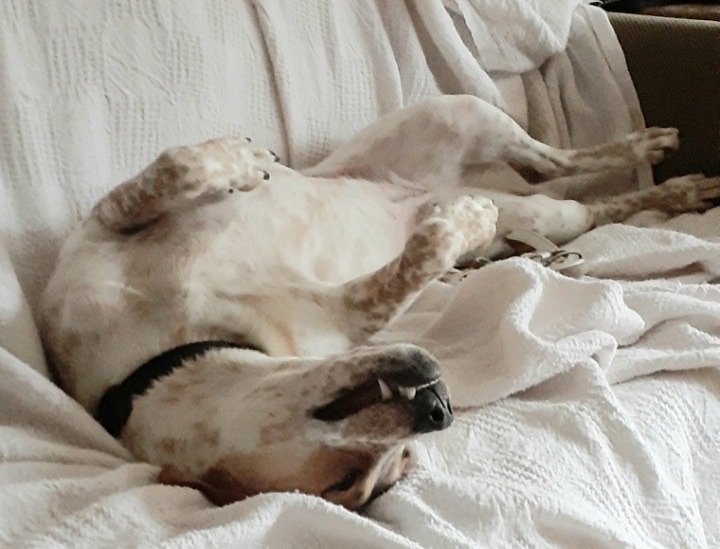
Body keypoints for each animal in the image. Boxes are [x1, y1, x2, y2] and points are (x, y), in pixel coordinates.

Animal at [39, 95, 720, 510]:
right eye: (349, 481)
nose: (440, 410)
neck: (160, 350)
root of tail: (435, 183)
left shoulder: (106, 225)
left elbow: (177, 166)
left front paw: (243, 157)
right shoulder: (349, 315)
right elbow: (420, 258)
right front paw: (460, 230)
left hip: (460, 115)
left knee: (564, 160)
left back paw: (656, 153)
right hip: (535, 206)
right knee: (583, 204)